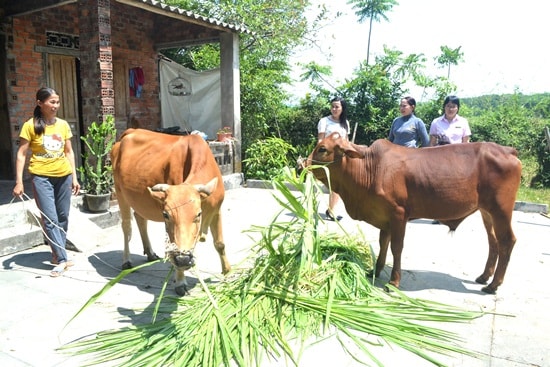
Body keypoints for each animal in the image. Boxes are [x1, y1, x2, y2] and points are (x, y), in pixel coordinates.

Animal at [111, 129, 232, 296]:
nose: (183, 259)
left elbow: (220, 244)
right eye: (166, 215)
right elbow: (174, 246)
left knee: (140, 218)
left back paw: (150, 253)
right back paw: (126, 261)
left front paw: (228, 272)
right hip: (120, 192)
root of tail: (130, 131)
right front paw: (180, 281)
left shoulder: (216, 210)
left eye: (198, 214)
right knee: (127, 226)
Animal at [304, 134, 524, 294]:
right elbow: (383, 243)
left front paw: (393, 281)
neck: (370, 168)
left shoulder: (399, 214)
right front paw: (375, 270)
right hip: (486, 211)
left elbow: (396, 248)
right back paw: (484, 277)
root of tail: (507, 150)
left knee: (507, 241)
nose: (301, 164)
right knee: (493, 242)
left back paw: (493, 285)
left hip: (501, 209)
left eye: (322, 149)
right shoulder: (385, 218)